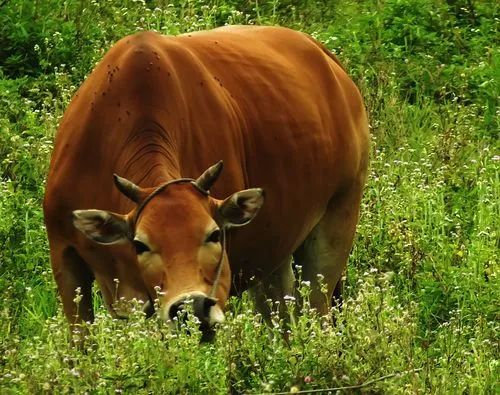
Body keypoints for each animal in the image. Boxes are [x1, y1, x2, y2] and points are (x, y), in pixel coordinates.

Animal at [43, 25, 370, 340]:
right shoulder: (64, 255)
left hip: (338, 220)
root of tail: (326, 57)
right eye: (139, 244)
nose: (193, 308)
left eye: (214, 235)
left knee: (318, 311)